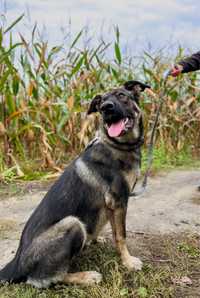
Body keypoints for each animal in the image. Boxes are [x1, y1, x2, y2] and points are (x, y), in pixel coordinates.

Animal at [0, 79, 150, 286]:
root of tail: (17, 263)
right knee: (48, 278)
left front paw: (97, 240)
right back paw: (86, 276)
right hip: (73, 224)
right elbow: (121, 235)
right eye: (101, 104)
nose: (106, 108)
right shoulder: (119, 200)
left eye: (121, 96)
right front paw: (128, 262)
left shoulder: (112, 206)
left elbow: (112, 230)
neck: (116, 144)